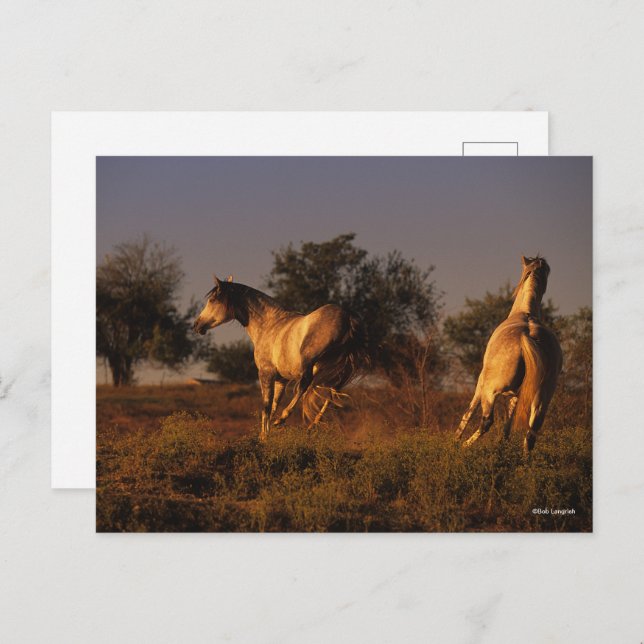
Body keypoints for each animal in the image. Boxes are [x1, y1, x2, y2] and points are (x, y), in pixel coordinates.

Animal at [193, 275, 367, 440]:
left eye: (212, 300)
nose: (196, 325)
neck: (269, 324)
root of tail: (348, 316)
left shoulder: (266, 373)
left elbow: (266, 406)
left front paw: (264, 437)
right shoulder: (281, 380)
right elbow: (273, 406)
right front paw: (265, 435)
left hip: (310, 363)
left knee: (305, 385)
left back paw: (284, 419)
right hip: (336, 371)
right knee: (332, 393)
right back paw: (313, 424)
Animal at [454, 256, 563, 453]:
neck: (524, 312)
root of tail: (528, 335)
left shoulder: (481, 382)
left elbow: (469, 410)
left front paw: (455, 440)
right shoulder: (517, 395)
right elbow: (508, 423)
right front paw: (503, 445)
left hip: (490, 391)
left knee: (487, 421)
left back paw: (465, 446)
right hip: (541, 399)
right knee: (531, 432)